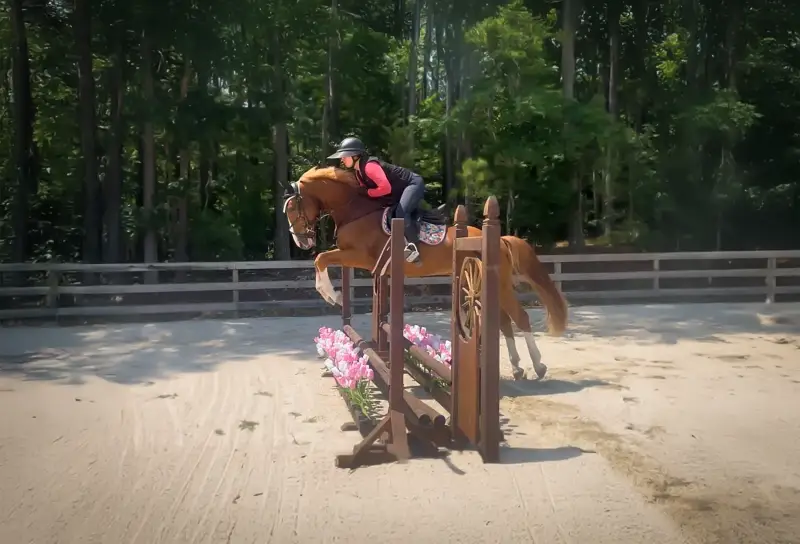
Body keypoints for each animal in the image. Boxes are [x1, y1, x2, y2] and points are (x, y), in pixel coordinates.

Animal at [282, 166, 568, 380]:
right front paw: (331, 294)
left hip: (498, 285)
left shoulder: (360, 256)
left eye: (293, 208)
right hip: (488, 285)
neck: (356, 210)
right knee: (504, 322)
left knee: (520, 318)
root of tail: (501, 239)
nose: (301, 242)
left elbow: (321, 258)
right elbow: (322, 259)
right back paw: (518, 367)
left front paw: (331, 295)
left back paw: (538, 366)